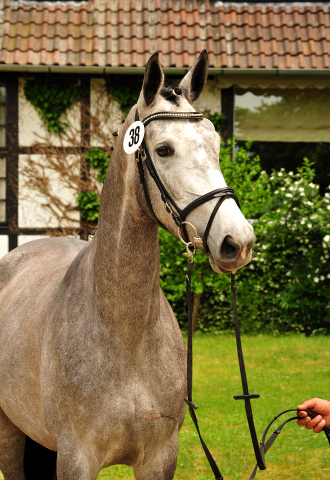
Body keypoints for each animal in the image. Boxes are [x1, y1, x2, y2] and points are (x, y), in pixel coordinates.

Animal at [0, 52, 255, 480]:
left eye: (216, 143)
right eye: (164, 149)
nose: (238, 241)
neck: (124, 333)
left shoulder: (160, 457)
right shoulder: (76, 459)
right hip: (9, 434)